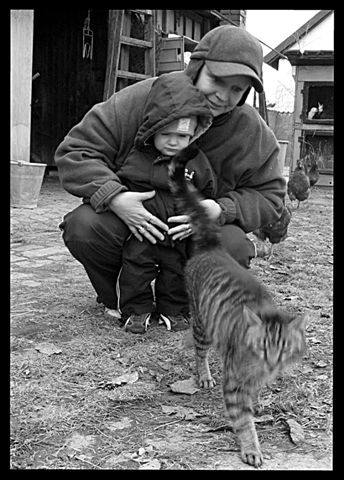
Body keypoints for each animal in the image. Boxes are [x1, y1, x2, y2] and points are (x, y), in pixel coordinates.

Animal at [169, 145, 306, 464]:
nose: (272, 363)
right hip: (202, 324)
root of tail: (213, 247)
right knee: (200, 353)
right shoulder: (234, 385)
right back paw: (205, 375)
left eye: (284, 348)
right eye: (262, 347)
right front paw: (251, 448)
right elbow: (244, 422)